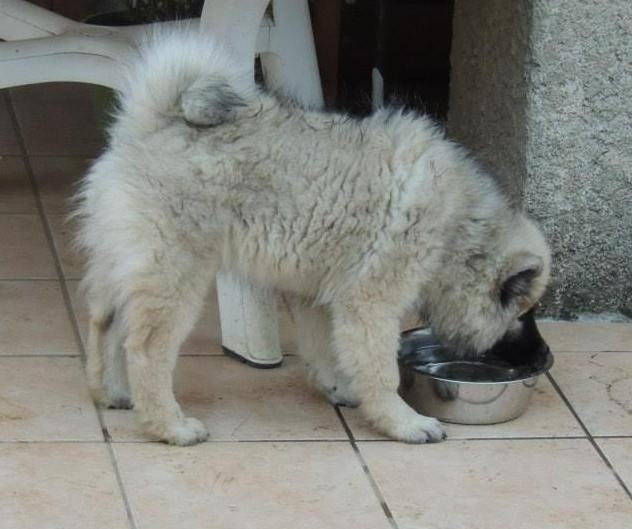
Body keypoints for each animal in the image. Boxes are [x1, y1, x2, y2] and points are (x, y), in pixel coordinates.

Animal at [74, 31, 550, 445]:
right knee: (146, 347)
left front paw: (341, 388)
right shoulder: (371, 303)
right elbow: (380, 369)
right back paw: (168, 425)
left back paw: (112, 392)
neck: (459, 228)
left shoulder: (318, 296)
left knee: (104, 322)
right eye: (524, 314)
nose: (541, 358)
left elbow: (327, 349)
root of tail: (150, 125)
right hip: (175, 274)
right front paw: (403, 421)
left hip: (122, 263)